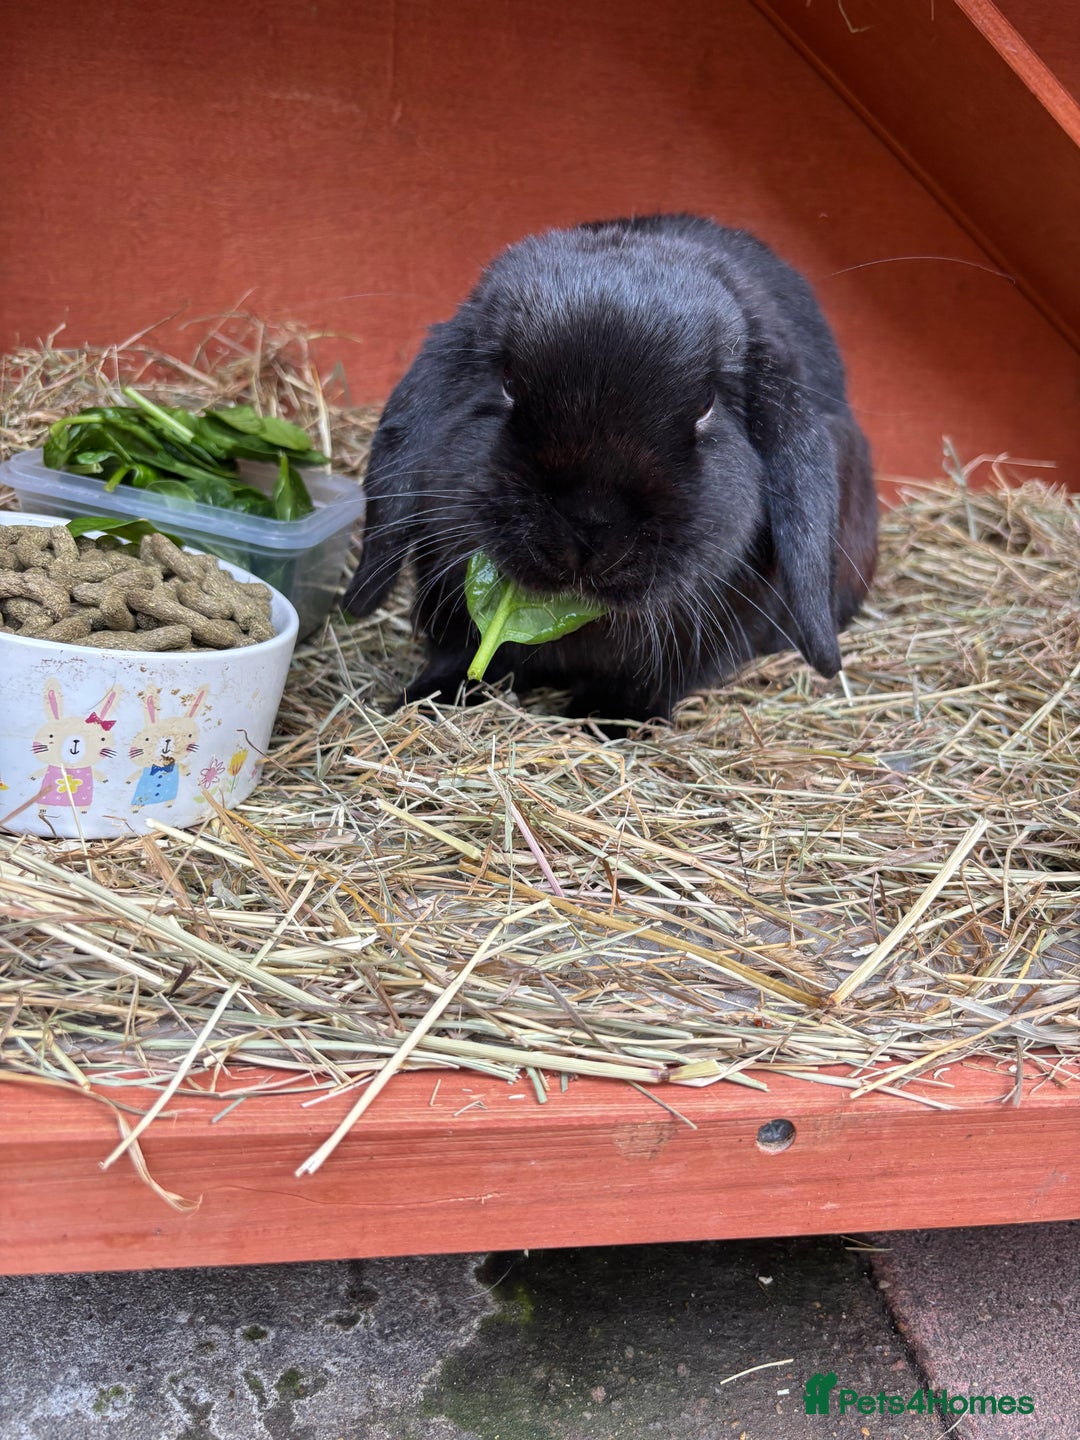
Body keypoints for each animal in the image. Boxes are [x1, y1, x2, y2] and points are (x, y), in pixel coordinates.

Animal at [28, 682, 120, 810]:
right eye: (51, 735)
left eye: (102, 739)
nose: (75, 740)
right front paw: (32, 777)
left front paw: (105, 779)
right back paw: (42, 809)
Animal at [343, 213, 879, 726]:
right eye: (508, 381)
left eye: (706, 405)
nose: (588, 528)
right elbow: (462, 656)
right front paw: (422, 701)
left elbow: (649, 681)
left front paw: (606, 719)